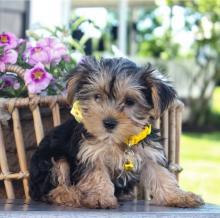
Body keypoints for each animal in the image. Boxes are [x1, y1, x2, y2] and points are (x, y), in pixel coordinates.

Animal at [29, 57, 205, 209]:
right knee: (53, 189)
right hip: (49, 160)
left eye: (130, 101)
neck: (118, 140)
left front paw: (179, 196)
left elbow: (162, 175)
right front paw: (100, 197)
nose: (108, 123)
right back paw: (74, 194)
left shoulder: (150, 153)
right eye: (97, 97)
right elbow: (97, 175)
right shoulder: (91, 154)